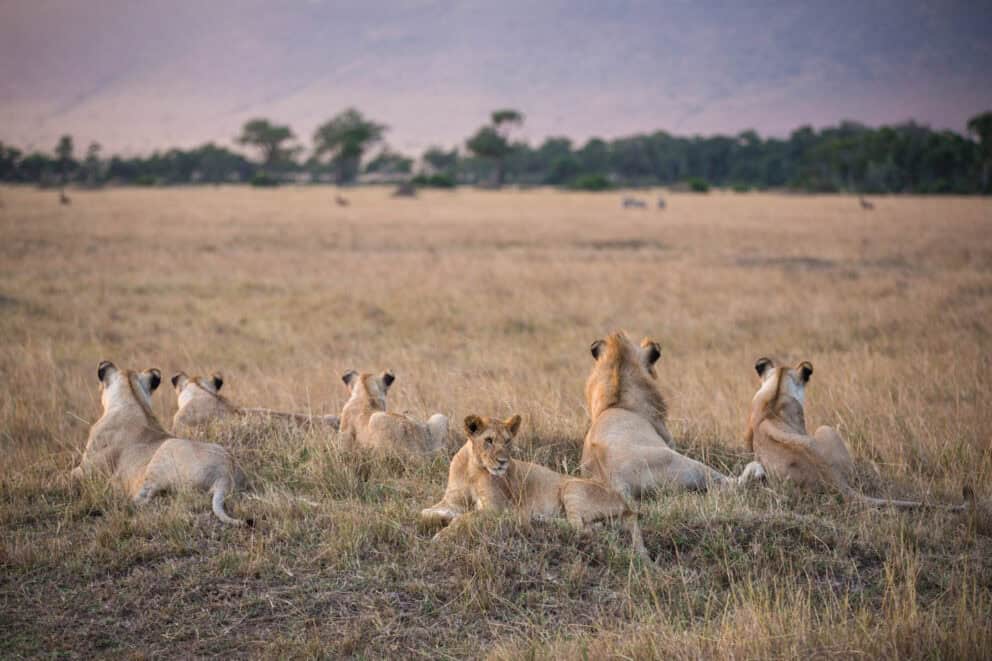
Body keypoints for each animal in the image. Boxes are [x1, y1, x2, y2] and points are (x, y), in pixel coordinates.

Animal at [72, 361, 250, 525]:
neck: (133, 399)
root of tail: (225, 474)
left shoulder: (87, 470)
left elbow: (68, 476)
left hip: (164, 452)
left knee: (146, 497)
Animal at [421, 414, 649, 559]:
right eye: (489, 440)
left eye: (507, 441)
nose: (503, 462)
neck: (472, 469)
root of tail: (625, 504)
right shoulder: (451, 502)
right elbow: (424, 513)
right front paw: (439, 520)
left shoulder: (498, 509)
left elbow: (465, 518)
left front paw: (441, 536)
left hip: (571, 487)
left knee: (583, 529)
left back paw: (537, 520)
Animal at [581, 331, 765, 499]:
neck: (617, 400)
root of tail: (615, 481)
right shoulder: (669, 440)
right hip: (686, 464)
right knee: (728, 484)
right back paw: (756, 470)